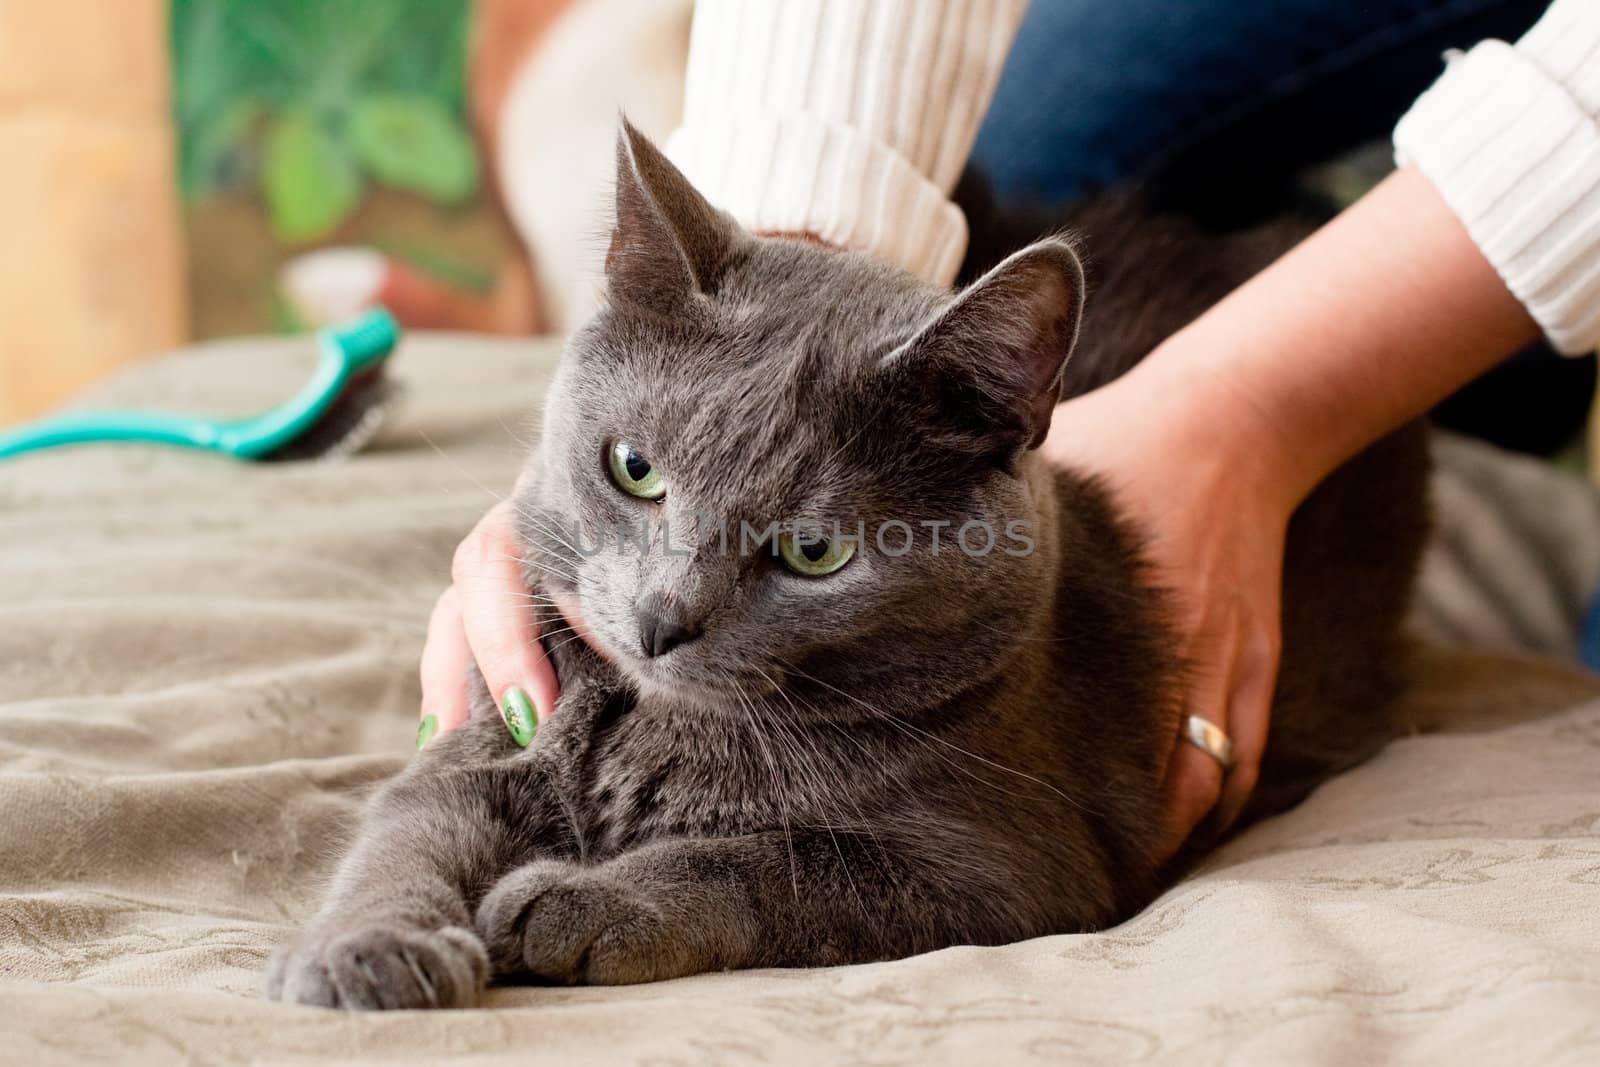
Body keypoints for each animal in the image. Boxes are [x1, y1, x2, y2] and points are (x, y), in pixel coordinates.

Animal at [268, 125, 1433, 1011]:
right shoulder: (493, 718)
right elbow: (402, 838)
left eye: (814, 550)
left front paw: (578, 902)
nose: (658, 619)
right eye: (634, 469)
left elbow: (765, 860)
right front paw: (366, 949)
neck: (654, 725)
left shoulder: (1011, 871)